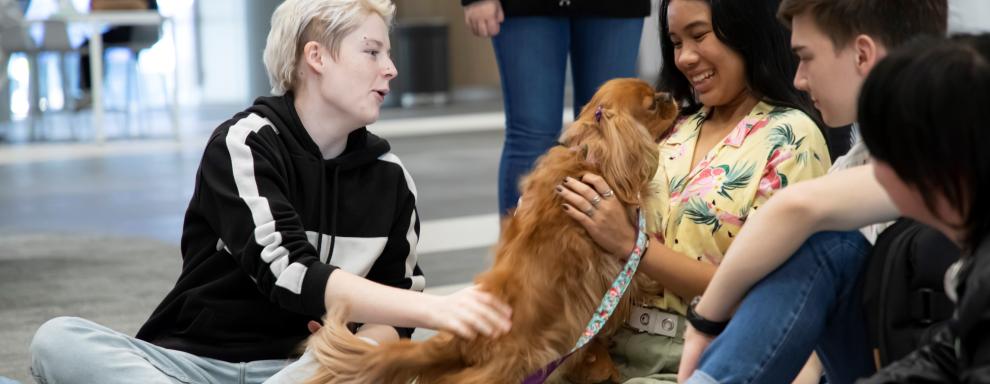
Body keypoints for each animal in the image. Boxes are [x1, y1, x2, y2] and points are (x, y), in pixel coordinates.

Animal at [306, 79, 680, 384]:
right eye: (652, 104)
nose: (671, 95)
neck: (591, 152)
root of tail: (460, 335)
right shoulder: (613, 262)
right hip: (516, 363)